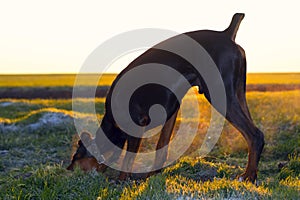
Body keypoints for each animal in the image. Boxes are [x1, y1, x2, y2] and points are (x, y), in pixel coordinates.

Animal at [67, 13, 264, 184]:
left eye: (75, 157)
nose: (67, 169)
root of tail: (227, 34)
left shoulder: (136, 124)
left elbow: (128, 158)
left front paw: (121, 181)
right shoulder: (172, 111)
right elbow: (161, 148)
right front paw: (153, 175)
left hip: (219, 94)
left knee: (255, 135)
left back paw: (247, 176)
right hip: (238, 93)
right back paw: (252, 175)